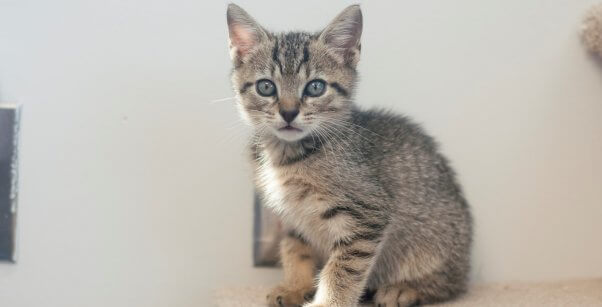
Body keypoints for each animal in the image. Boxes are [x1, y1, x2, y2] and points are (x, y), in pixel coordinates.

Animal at [225, 4, 468, 307]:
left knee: (452, 283)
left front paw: (328, 302)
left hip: (434, 245)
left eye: (315, 87)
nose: (289, 112)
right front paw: (294, 286)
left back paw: (405, 289)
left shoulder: (368, 214)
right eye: (266, 87)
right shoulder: (294, 217)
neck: (288, 157)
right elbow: (295, 249)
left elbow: (343, 267)